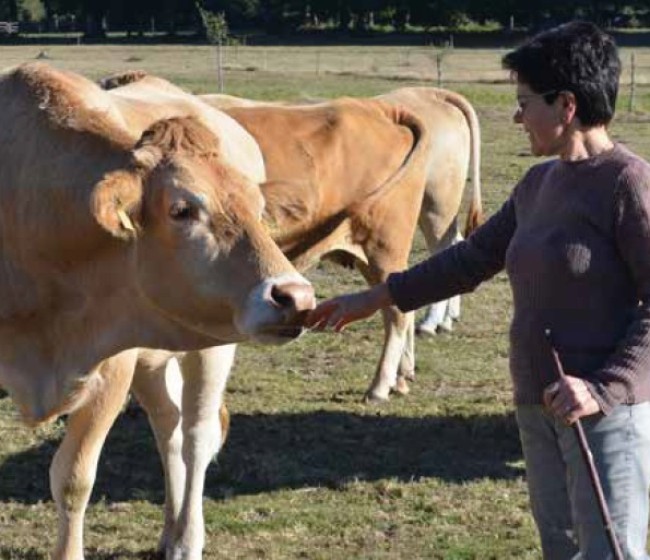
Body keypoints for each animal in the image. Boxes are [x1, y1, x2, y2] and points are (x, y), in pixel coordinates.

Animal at [0, 61, 314, 560]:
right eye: (182, 209)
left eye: (259, 208)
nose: (295, 297)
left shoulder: (110, 371)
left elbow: (73, 479)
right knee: (168, 427)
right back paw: (170, 529)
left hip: (211, 346)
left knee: (195, 437)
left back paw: (186, 538)